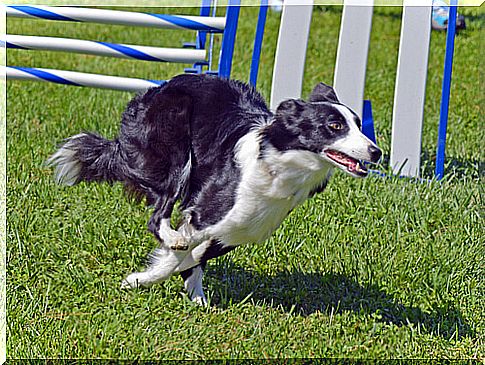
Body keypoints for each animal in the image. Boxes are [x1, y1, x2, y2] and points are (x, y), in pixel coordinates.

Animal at [49, 74, 382, 304]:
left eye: (359, 124)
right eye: (334, 126)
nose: (377, 152)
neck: (278, 163)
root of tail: (163, 86)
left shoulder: (240, 228)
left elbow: (194, 257)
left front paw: (178, 283)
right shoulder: (206, 213)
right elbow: (180, 253)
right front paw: (138, 280)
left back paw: (197, 295)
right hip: (175, 149)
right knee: (158, 217)